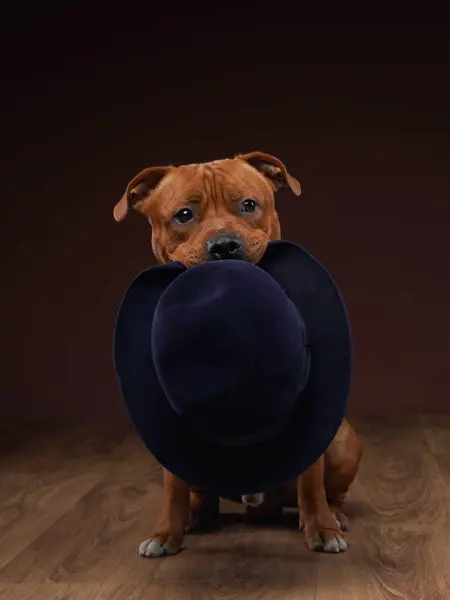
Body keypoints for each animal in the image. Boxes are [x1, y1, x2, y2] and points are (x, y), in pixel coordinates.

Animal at [113, 150, 362, 556]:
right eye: (184, 215)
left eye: (249, 205)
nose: (224, 245)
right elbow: (172, 490)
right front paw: (166, 533)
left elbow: (312, 486)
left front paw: (322, 528)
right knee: (203, 497)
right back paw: (196, 516)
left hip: (343, 441)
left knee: (331, 492)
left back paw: (335, 516)